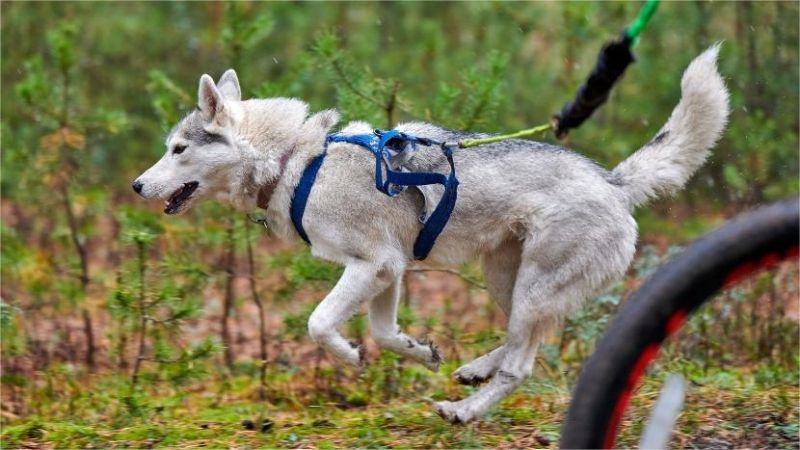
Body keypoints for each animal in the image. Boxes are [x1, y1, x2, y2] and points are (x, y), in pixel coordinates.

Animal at [134, 47, 728, 424]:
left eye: (178, 149)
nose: (137, 185)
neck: (295, 164)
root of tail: (613, 183)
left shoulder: (372, 265)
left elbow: (319, 324)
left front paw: (349, 357)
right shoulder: (390, 270)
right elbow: (386, 333)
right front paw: (421, 353)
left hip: (533, 284)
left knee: (521, 364)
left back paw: (463, 412)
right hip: (508, 279)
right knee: (526, 342)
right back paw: (472, 371)